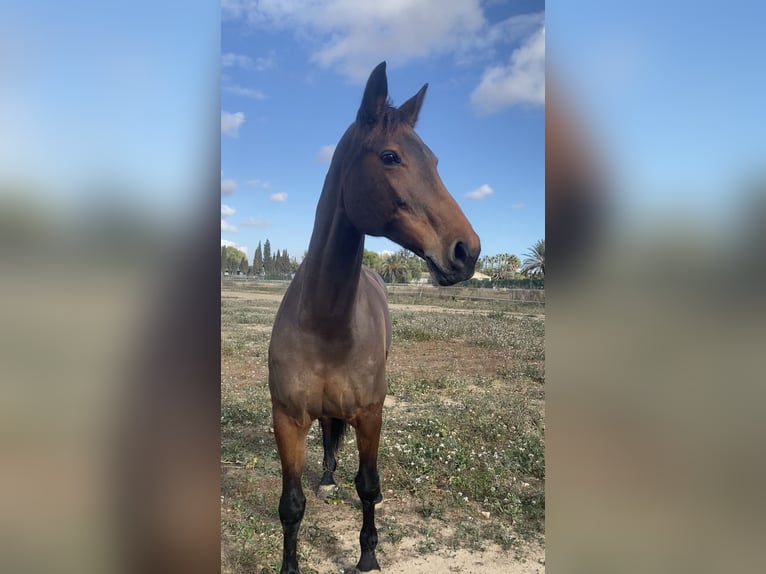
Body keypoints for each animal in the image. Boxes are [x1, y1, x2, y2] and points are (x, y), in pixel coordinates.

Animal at [268, 61, 481, 573]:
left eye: (436, 161)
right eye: (390, 156)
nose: (467, 251)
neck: (326, 324)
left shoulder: (371, 415)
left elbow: (369, 486)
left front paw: (367, 554)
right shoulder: (287, 418)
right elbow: (291, 504)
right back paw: (327, 478)